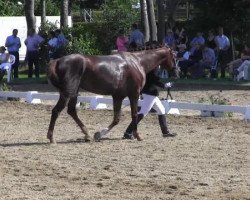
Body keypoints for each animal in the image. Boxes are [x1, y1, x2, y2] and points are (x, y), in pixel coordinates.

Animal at [46, 45, 177, 142]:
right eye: (174, 56)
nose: (176, 71)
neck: (138, 62)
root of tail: (57, 61)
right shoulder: (133, 94)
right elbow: (134, 115)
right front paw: (138, 136)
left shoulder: (118, 96)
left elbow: (116, 119)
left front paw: (99, 134)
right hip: (67, 93)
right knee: (56, 111)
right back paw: (51, 138)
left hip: (74, 92)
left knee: (72, 111)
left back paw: (87, 134)